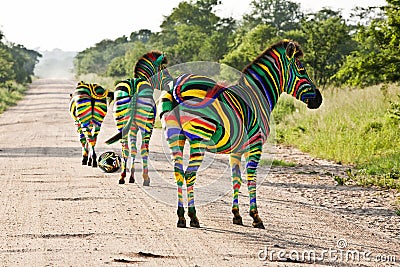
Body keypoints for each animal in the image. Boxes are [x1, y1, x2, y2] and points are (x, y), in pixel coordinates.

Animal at [106, 50, 173, 186]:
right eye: (164, 69)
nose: (171, 83)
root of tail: (133, 85)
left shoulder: (132, 127)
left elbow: (133, 149)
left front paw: (131, 177)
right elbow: (141, 149)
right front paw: (141, 178)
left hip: (121, 123)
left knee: (125, 148)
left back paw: (122, 177)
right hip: (146, 125)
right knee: (144, 149)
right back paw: (146, 179)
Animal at [159, 39, 322, 228]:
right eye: (302, 70)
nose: (319, 99)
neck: (258, 96)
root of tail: (177, 83)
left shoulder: (236, 150)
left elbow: (236, 180)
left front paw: (237, 215)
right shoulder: (256, 145)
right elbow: (251, 180)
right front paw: (256, 217)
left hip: (173, 136)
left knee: (178, 172)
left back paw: (181, 217)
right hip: (200, 137)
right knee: (190, 174)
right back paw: (193, 216)